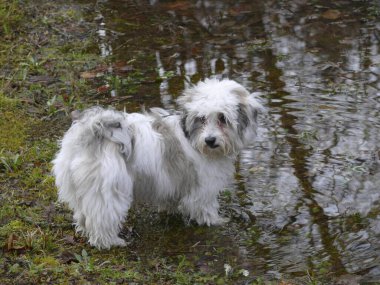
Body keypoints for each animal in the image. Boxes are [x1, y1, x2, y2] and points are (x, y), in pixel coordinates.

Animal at [52, 78, 262, 248]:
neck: (193, 140)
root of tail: (89, 133)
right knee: (102, 217)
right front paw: (216, 220)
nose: (210, 140)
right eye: (201, 119)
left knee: (83, 213)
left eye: (222, 118)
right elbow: (204, 206)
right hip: (106, 189)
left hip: (79, 186)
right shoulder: (203, 186)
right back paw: (110, 242)